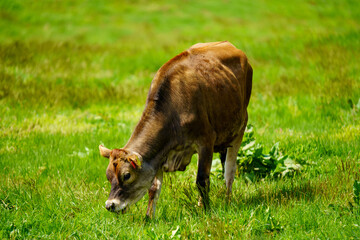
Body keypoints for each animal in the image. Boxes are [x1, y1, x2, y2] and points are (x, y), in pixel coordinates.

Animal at [99, 40, 253, 218]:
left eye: (127, 175)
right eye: (108, 176)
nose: (110, 205)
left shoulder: (205, 141)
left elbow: (202, 180)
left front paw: (207, 211)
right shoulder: (158, 156)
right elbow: (153, 189)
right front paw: (149, 218)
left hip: (240, 128)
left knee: (229, 171)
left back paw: (227, 201)